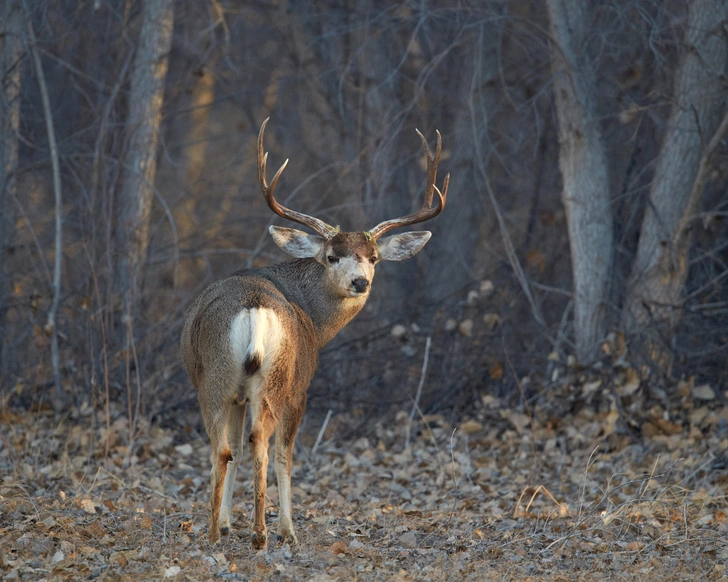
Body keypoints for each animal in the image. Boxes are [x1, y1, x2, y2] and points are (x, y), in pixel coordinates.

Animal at [179, 118, 446, 552]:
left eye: (374, 258)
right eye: (332, 256)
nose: (360, 282)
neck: (313, 319)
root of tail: (254, 307)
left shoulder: (238, 394)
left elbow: (235, 451)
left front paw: (230, 522)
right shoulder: (301, 386)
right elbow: (285, 456)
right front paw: (288, 529)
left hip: (219, 378)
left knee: (225, 447)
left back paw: (217, 530)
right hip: (273, 379)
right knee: (264, 443)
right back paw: (261, 533)